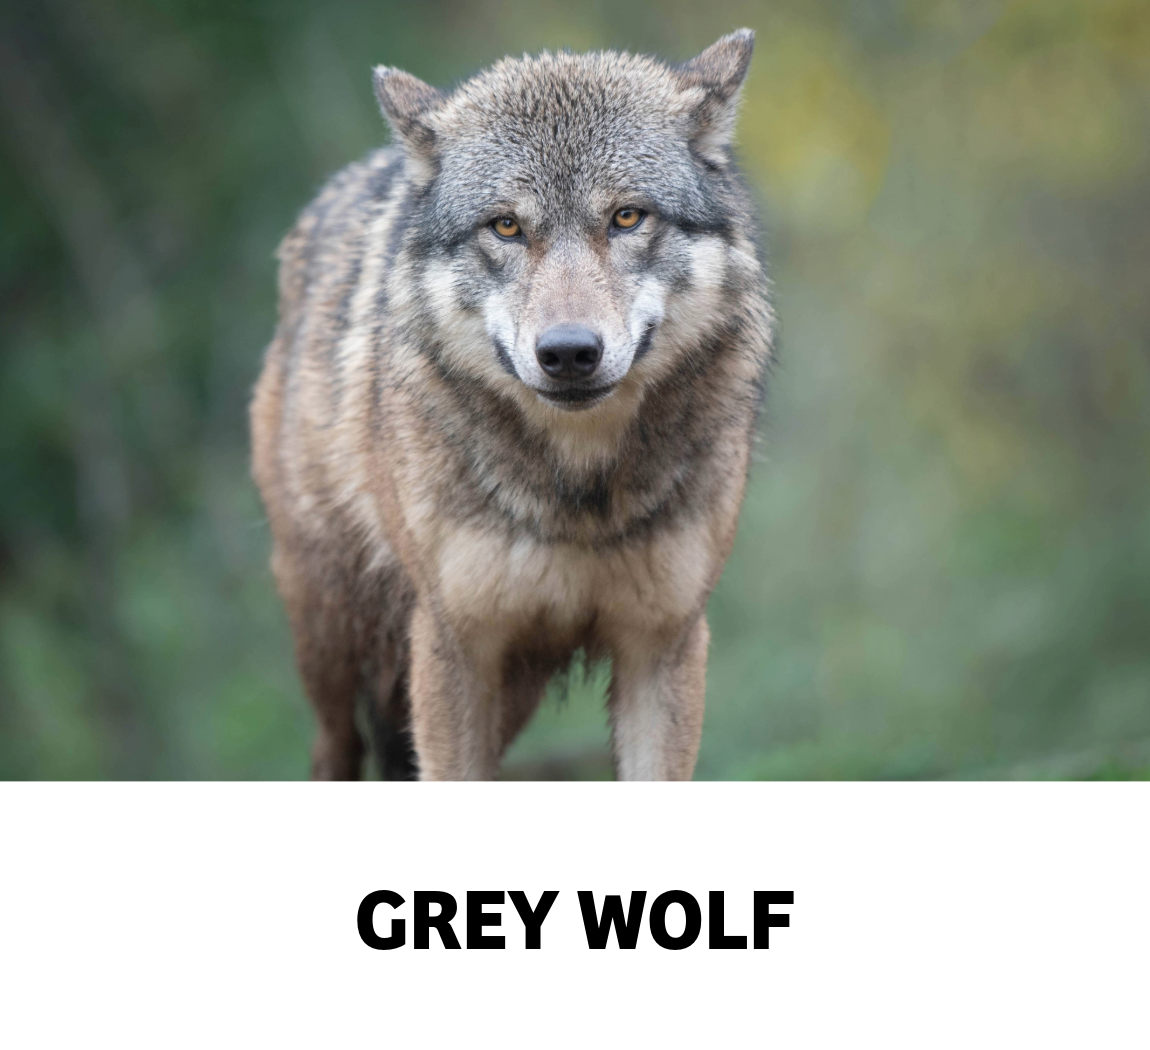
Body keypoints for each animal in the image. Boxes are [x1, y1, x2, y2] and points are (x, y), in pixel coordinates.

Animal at [250, 29, 773, 780]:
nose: (569, 352)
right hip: (332, 641)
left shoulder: (664, 645)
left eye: (626, 217)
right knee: (333, 750)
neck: (577, 494)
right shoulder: (454, 645)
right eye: (505, 227)